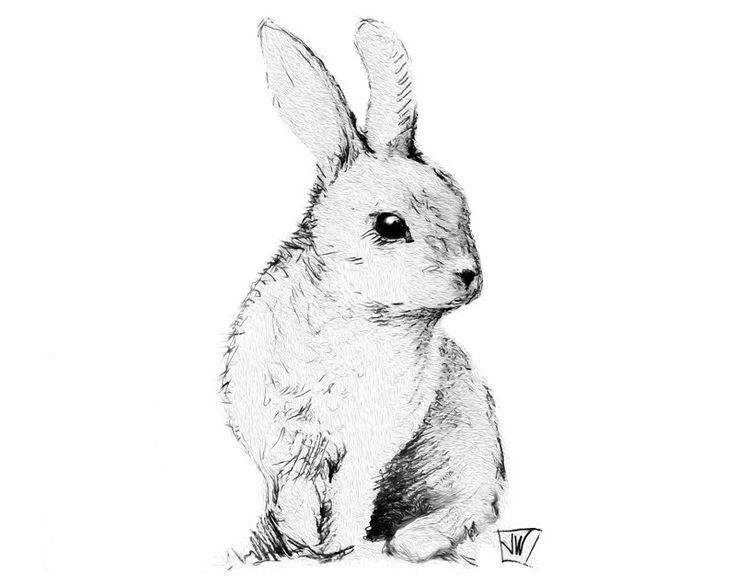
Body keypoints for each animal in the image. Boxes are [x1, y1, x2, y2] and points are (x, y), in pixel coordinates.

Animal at [220, 18, 506, 564]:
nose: (471, 276)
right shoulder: (286, 440)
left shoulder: (372, 441)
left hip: (470, 458)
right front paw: (304, 543)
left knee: (475, 509)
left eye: (462, 206)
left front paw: (339, 546)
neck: (359, 312)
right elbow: (298, 495)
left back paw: (415, 541)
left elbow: (351, 493)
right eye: (390, 225)